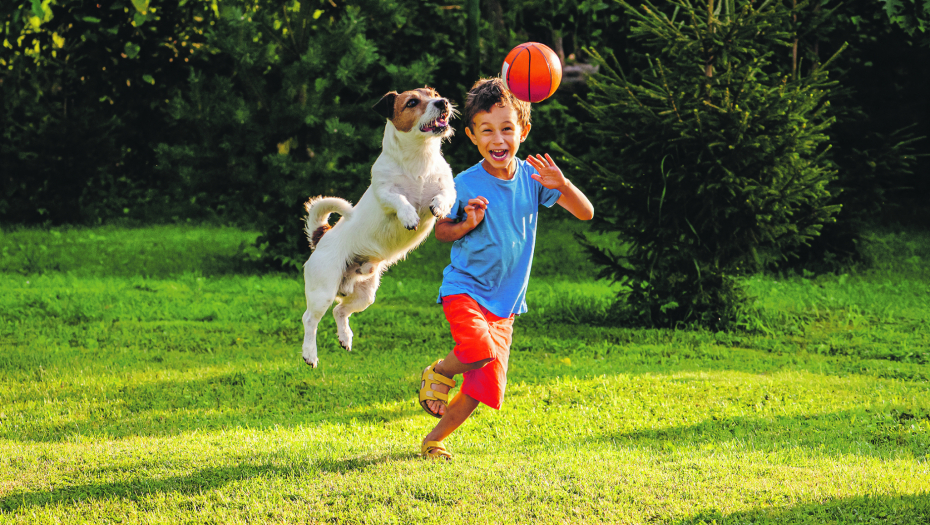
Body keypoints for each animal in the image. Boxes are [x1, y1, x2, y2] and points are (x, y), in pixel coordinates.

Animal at [300, 88, 454, 366]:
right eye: (412, 102)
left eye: (434, 93)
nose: (443, 102)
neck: (419, 159)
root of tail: (322, 237)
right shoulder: (385, 193)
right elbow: (399, 199)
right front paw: (408, 216)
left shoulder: (448, 187)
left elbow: (444, 196)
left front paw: (438, 206)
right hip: (322, 290)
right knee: (310, 320)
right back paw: (309, 354)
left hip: (365, 294)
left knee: (340, 310)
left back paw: (345, 338)